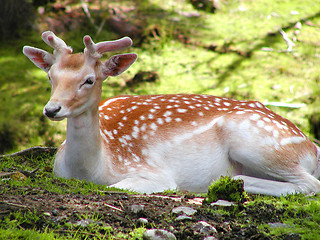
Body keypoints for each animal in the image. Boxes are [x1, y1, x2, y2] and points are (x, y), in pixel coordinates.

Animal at [23, 31, 320, 197]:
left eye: (89, 80)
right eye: (51, 76)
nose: (52, 109)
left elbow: (116, 186)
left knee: (310, 184)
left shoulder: (153, 172)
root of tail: (311, 147)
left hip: (258, 142)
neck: (90, 170)